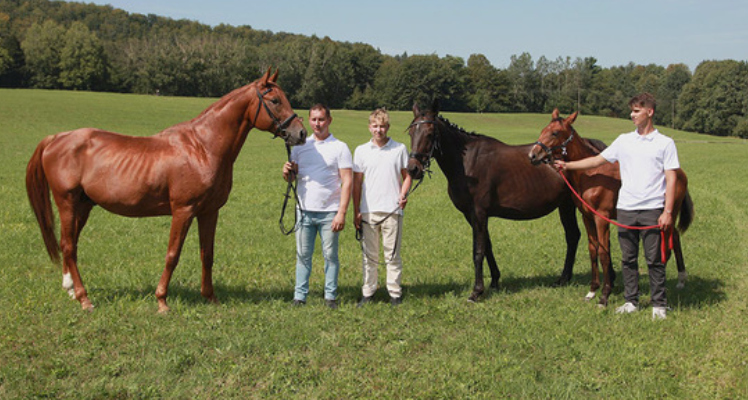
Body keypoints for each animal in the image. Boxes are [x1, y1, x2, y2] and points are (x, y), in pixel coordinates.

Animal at [25, 69, 306, 312]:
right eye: (275, 100)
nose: (301, 133)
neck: (202, 148)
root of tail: (55, 139)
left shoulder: (209, 212)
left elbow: (207, 254)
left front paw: (210, 297)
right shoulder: (183, 211)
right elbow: (173, 254)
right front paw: (162, 301)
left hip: (83, 206)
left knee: (70, 243)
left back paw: (72, 290)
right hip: (67, 203)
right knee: (68, 246)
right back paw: (84, 299)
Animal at [406, 101, 580, 302]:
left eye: (429, 134)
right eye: (411, 133)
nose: (413, 169)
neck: (467, 163)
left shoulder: (479, 213)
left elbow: (478, 251)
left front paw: (477, 291)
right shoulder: (471, 215)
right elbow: (487, 246)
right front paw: (495, 281)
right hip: (565, 206)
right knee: (573, 236)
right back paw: (564, 278)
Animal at [524, 109, 696, 306]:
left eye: (555, 133)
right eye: (543, 129)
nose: (533, 155)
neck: (591, 175)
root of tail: (678, 171)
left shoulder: (601, 217)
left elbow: (604, 252)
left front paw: (605, 295)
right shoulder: (587, 217)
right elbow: (593, 250)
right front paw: (592, 291)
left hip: (668, 214)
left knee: (668, 244)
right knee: (674, 237)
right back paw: (678, 280)